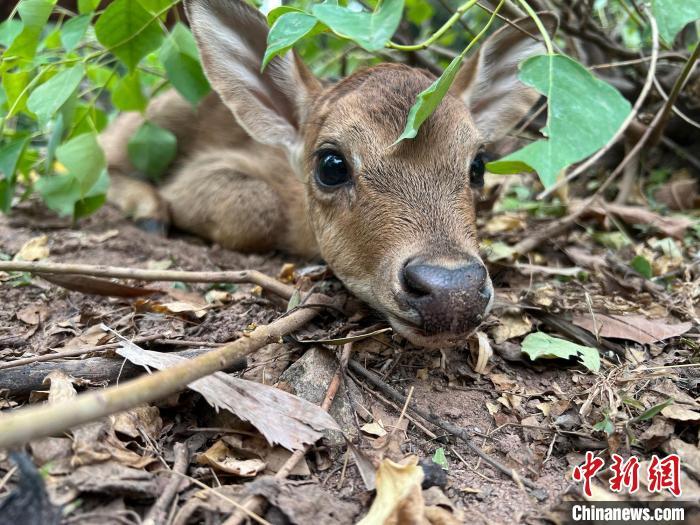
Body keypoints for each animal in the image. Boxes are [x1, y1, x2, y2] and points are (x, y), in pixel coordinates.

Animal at [101, 0, 556, 346]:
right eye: (331, 165)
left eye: (478, 164)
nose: (453, 293)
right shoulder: (204, 173)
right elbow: (253, 208)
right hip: (153, 118)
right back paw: (147, 212)